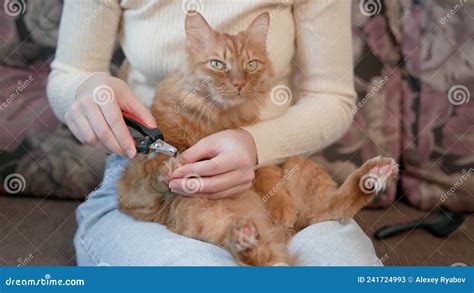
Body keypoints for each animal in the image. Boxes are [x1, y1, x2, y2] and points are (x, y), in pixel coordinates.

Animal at [117, 12, 396, 264]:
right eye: (217, 64)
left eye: (251, 64)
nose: (239, 83)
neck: (219, 118)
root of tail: (282, 237)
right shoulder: (139, 188)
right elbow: (156, 167)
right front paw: (172, 166)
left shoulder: (255, 150)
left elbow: (267, 178)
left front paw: (280, 207)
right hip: (197, 210)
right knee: (257, 254)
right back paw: (245, 238)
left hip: (301, 169)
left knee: (328, 209)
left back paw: (373, 175)